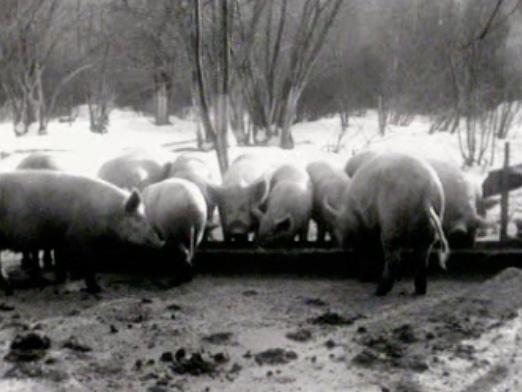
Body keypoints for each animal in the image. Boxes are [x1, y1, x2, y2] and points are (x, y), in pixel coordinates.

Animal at [0, 172, 162, 294]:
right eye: (139, 219)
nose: (161, 241)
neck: (107, 215)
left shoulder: (63, 240)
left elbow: (61, 261)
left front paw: (61, 280)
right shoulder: (81, 238)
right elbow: (89, 265)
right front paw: (97, 289)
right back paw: (8, 288)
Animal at [322, 152, 444, 296]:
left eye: (337, 225)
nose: (339, 244)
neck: (351, 210)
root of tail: (427, 195)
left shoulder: (365, 228)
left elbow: (366, 252)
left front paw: (363, 277)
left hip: (392, 219)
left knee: (394, 258)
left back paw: (379, 291)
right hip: (429, 229)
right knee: (422, 257)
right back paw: (420, 290)